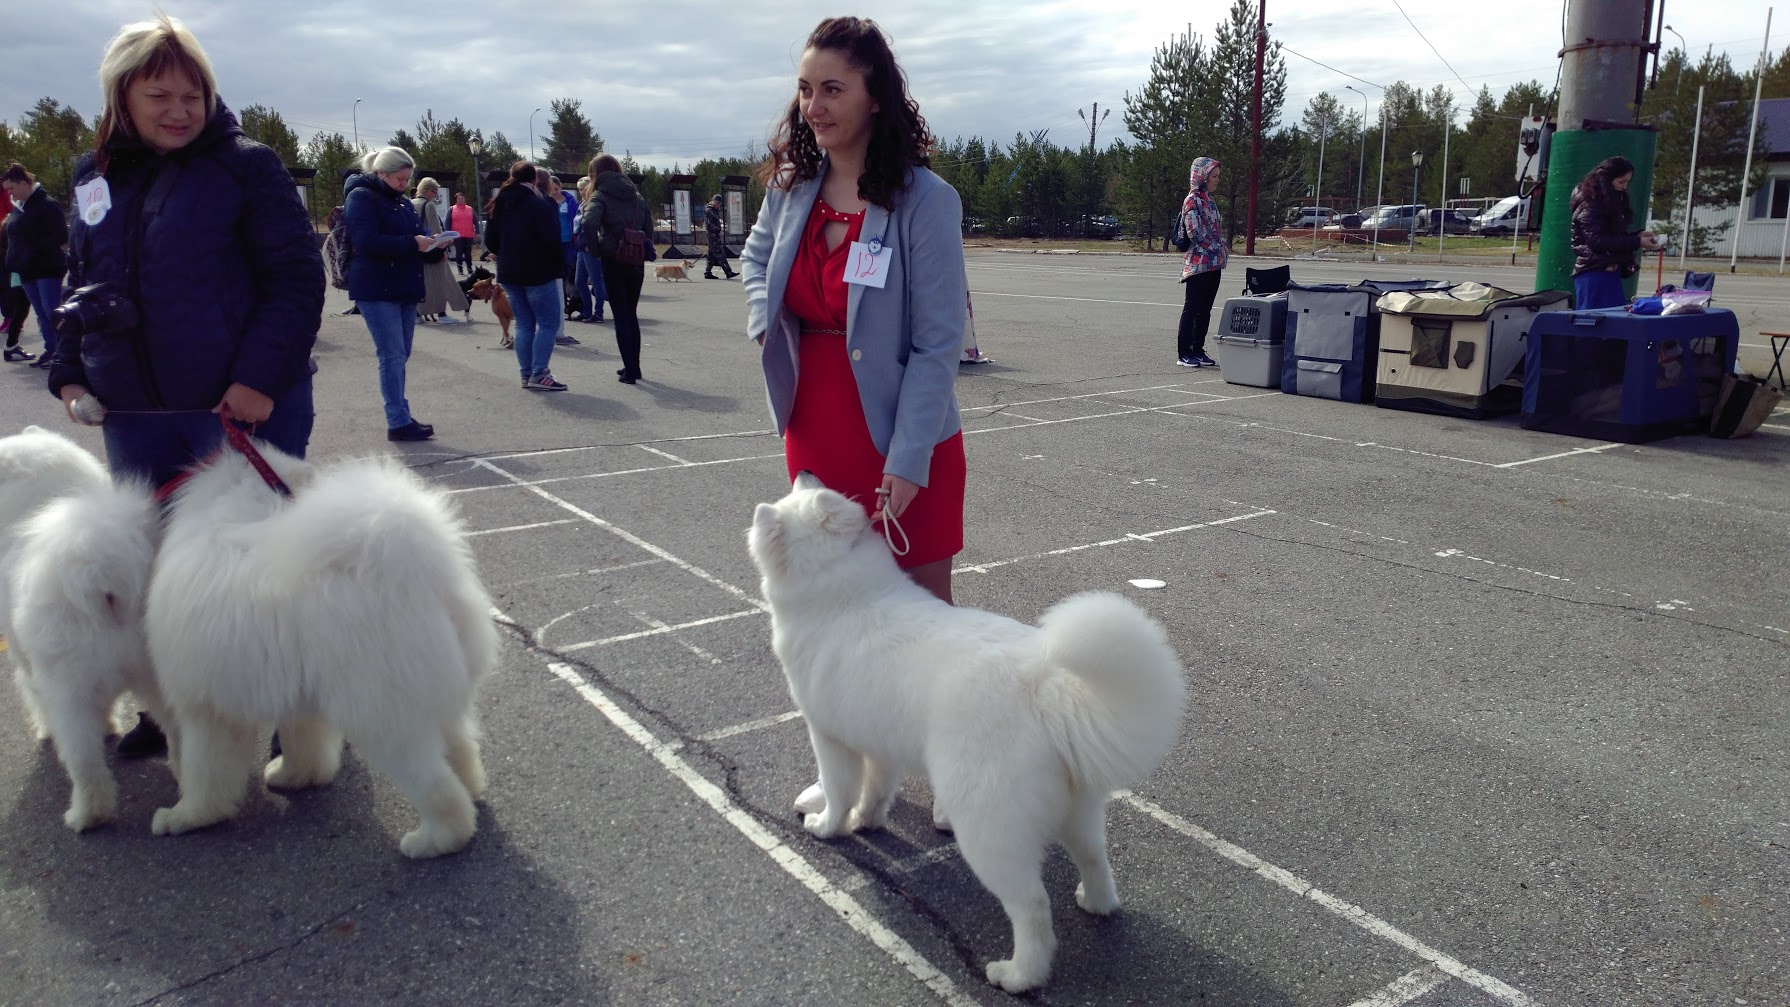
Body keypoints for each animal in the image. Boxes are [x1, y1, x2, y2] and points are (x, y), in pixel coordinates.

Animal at [0, 425, 162, 826]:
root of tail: (104, 585)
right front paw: (110, 727)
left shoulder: (31, 673)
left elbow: (37, 702)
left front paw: (44, 731)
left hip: (69, 697)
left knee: (85, 767)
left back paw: (86, 816)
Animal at [141, 443, 497, 858]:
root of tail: (415, 573)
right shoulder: (298, 701)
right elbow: (303, 744)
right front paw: (295, 777)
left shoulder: (206, 710)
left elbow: (204, 772)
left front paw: (187, 817)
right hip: (435, 695)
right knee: (460, 747)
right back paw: (472, 790)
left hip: (381, 717)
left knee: (435, 786)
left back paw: (434, 841)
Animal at [744, 475, 1188, 994]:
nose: (806, 473)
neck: (838, 586)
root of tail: (1047, 689)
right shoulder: (879, 741)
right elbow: (875, 791)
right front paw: (866, 821)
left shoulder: (830, 737)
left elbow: (838, 790)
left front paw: (827, 826)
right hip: (1078, 810)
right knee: (1096, 859)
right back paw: (1095, 903)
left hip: (987, 829)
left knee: (1033, 907)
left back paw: (1017, 975)